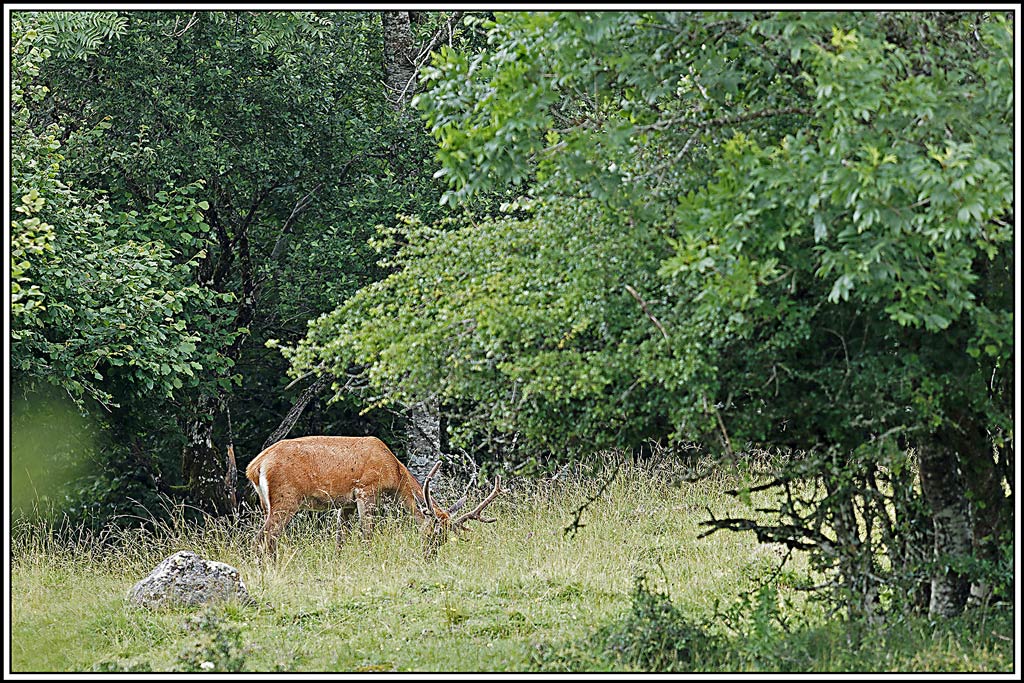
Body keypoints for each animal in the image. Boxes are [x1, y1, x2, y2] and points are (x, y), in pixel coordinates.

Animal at [244, 435, 502, 558]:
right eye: (433, 534)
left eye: (446, 538)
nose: (430, 557)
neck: (394, 474)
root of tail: (254, 467)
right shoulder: (365, 490)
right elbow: (367, 534)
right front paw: (368, 558)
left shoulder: (345, 503)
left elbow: (340, 539)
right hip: (285, 498)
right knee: (263, 538)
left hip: (267, 503)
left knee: (268, 539)